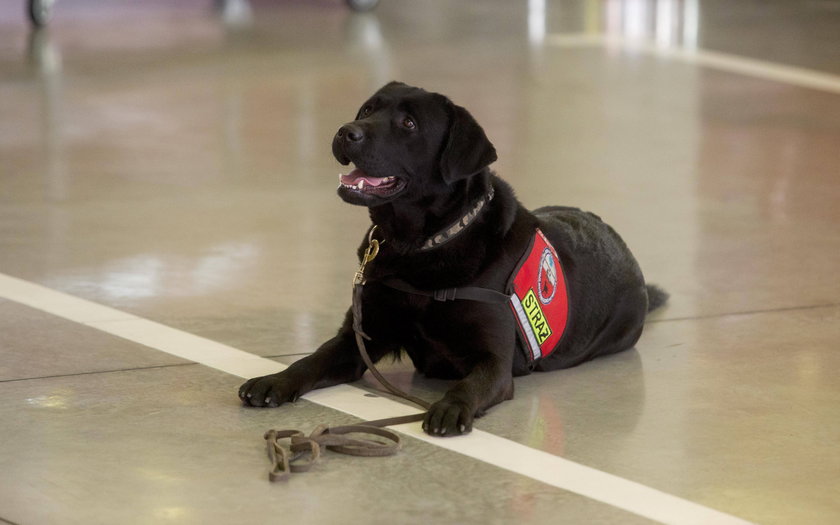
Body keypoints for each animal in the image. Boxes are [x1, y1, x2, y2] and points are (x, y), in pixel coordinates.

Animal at [240, 81, 668, 434]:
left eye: (409, 123)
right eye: (367, 109)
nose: (347, 130)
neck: (416, 247)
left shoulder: (494, 362)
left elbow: (470, 385)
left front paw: (450, 408)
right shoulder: (359, 337)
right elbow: (311, 360)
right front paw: (275, 380)